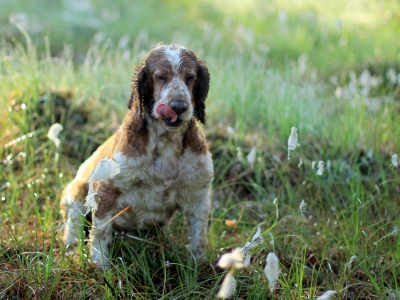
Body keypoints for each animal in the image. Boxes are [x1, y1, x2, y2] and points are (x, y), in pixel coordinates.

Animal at [58, 43, 212, 268]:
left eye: (190, 77)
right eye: (161, 77)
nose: (178, 107)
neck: (166, 143)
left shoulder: (198, 194)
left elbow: (199, 236)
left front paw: (198, 267)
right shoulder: (104, 189)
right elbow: (101, 234)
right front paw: (101, 266)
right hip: (75, 192)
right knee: (73, 224)